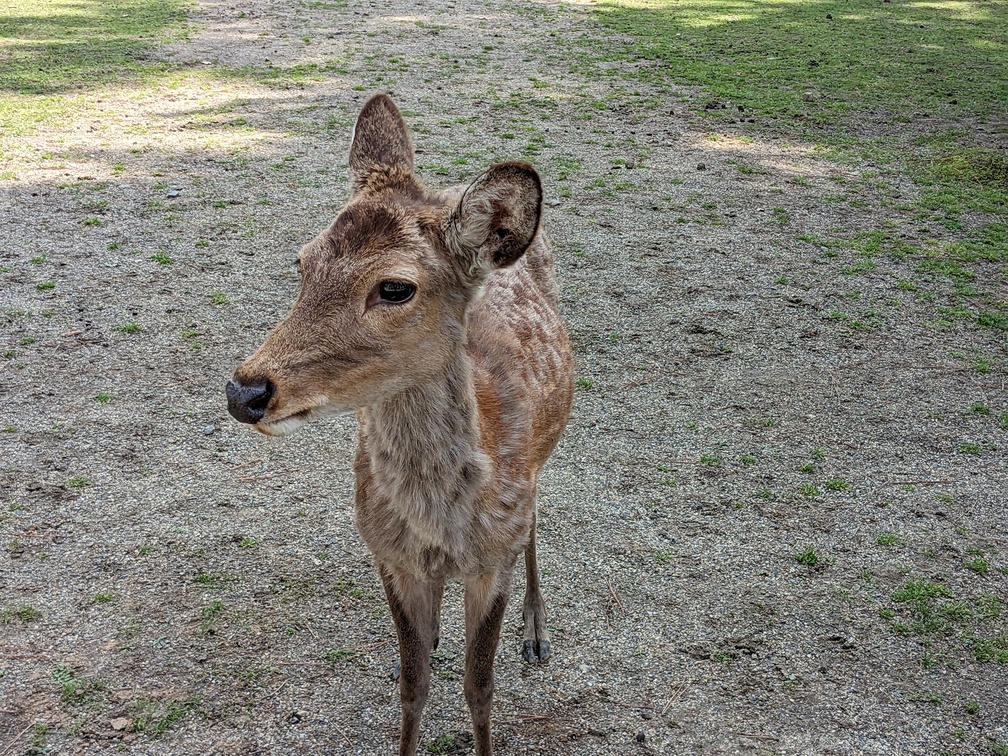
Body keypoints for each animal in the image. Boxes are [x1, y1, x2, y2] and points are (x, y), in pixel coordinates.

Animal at [227, 94, 576, 756]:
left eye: (394, 287)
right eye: (303, 262)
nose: (245, 391)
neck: (445, 524)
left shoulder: (491, 561)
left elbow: (479, 687)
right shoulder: (386, 552)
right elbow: (413, 685)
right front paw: (416, 657)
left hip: (545, 455)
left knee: (539, 515)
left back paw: (537, 630)